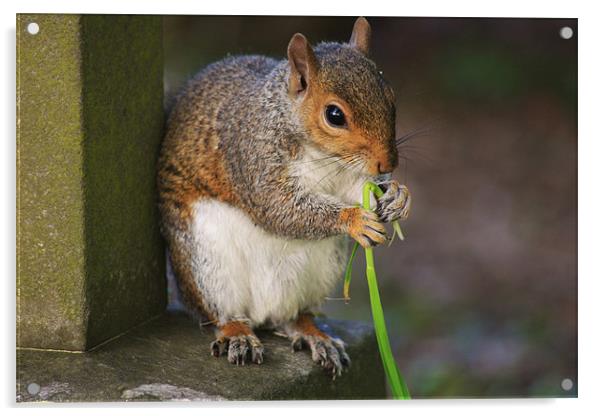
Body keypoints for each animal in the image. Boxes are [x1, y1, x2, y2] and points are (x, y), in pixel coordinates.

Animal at [156, 18, 408, 376]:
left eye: (391, 98)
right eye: (334, 115)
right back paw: (237, 333)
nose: (388, 164)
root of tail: (262, 313)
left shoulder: (348, 178)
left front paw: (397, 196)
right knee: (222, 312)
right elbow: (279, 207)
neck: (321, 155)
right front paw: (355, 219)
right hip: (204, 262)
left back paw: (314, 334)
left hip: (322, 268)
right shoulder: (251, 155)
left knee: (292, 317)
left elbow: (357, 191)